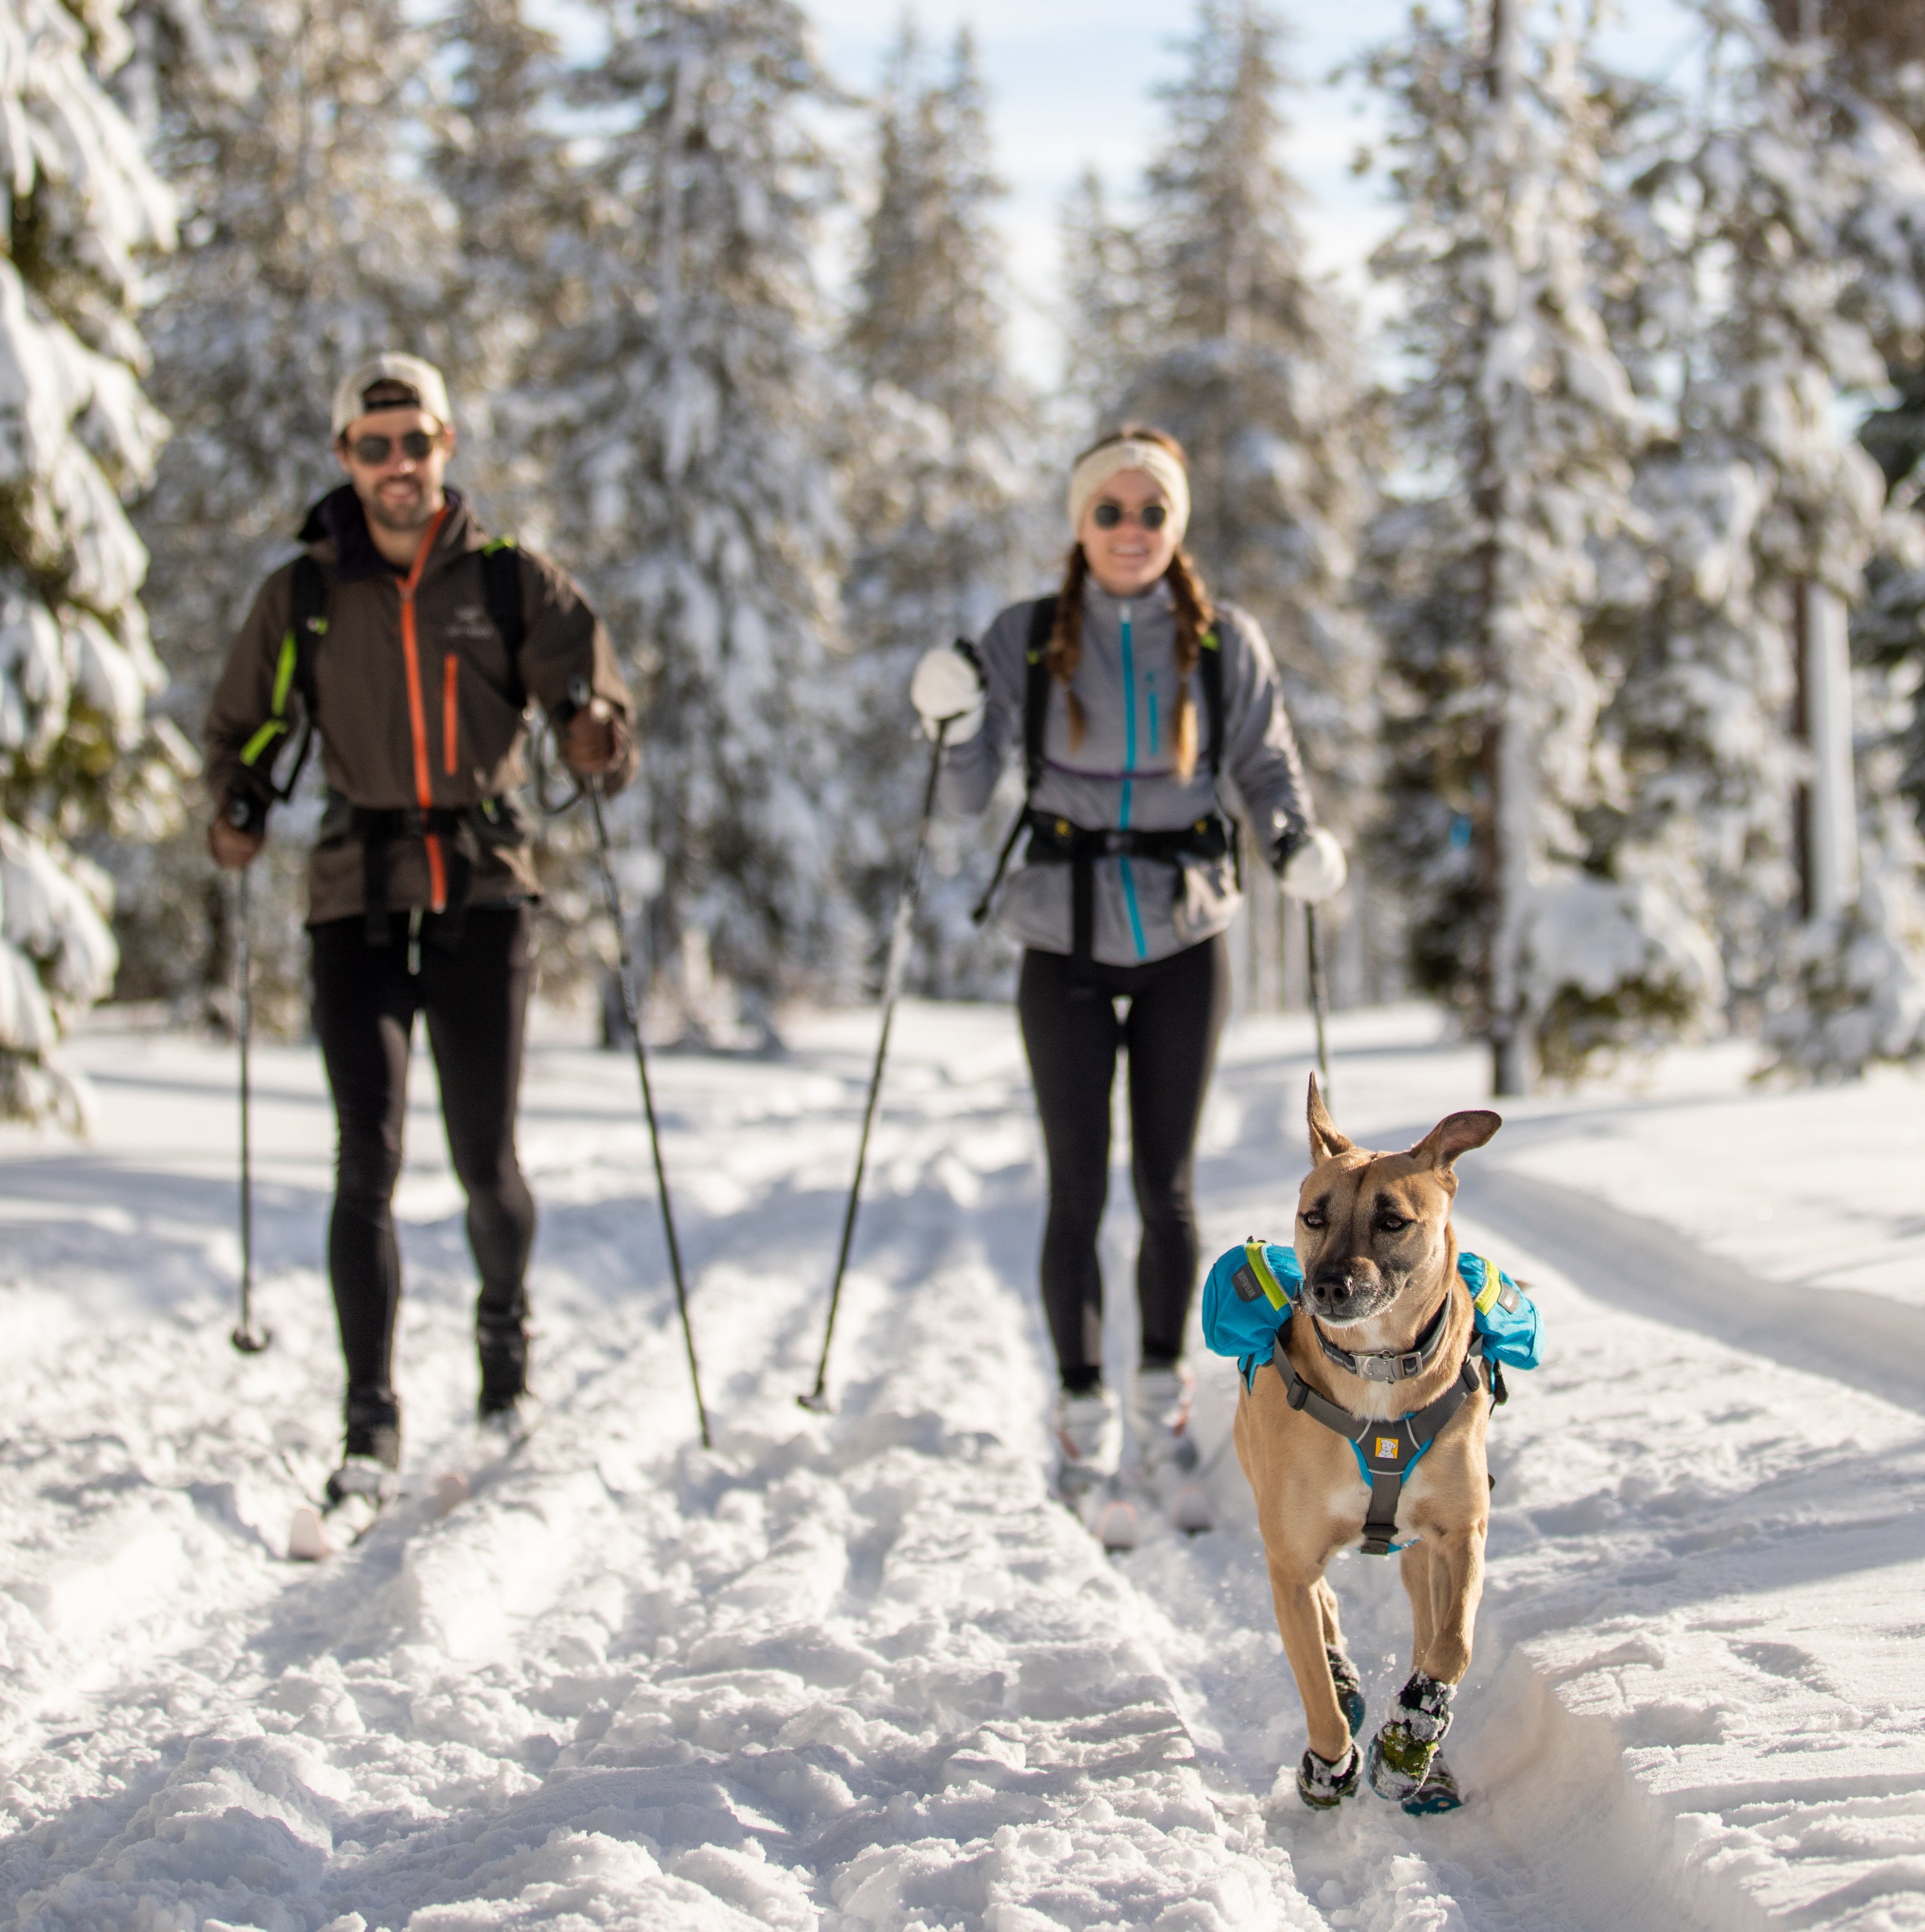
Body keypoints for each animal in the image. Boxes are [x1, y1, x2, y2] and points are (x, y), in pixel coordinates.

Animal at [1237, 1074, 1507, 1808]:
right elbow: (1314, 1685)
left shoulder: (1459, 1531)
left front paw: (1409, 1739)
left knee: (1424, 1622)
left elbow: (1453, 1645)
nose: (1328, 1287)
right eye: (1314, 1217)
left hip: (1422, 1554)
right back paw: (1346, 1685)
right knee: (1324, 1616)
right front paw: (1329, 1765)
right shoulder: (1290, 1558)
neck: (1378, 1370)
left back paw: (1424, 1761)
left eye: (1392, 1221)